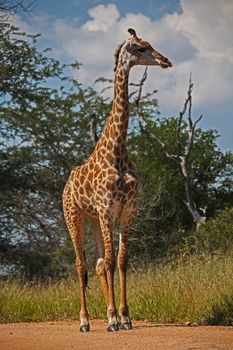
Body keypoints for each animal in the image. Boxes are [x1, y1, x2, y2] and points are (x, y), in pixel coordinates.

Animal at [62, 28, 172, 332]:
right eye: (139, 47)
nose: (166, 60)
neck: (118, 151)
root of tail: (66, 185)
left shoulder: (126, 210)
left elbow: (121, 260)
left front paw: (124, 317)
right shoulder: (107, 208)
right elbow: (111, 261)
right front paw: (112, 318)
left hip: (93, 219)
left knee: (99, 262)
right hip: (74, 216)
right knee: (81, 264)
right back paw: (85, 321)